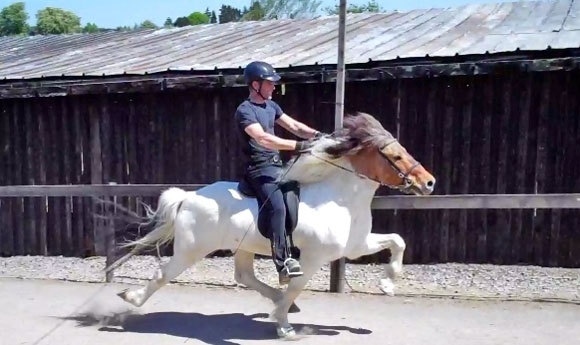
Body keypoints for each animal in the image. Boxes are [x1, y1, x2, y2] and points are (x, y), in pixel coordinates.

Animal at [103, 111, 436, 338]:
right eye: (395, 156)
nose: (429, 182)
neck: (339, 198)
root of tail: (189, 197)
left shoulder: (356, 246)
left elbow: (397, 240)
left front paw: (387, 284)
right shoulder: (313, 259)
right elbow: (296, 287)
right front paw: (283, 326)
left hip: (242, 247)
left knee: (244, 275)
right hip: (191, 250)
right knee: (163, 274)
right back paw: (130, 298)